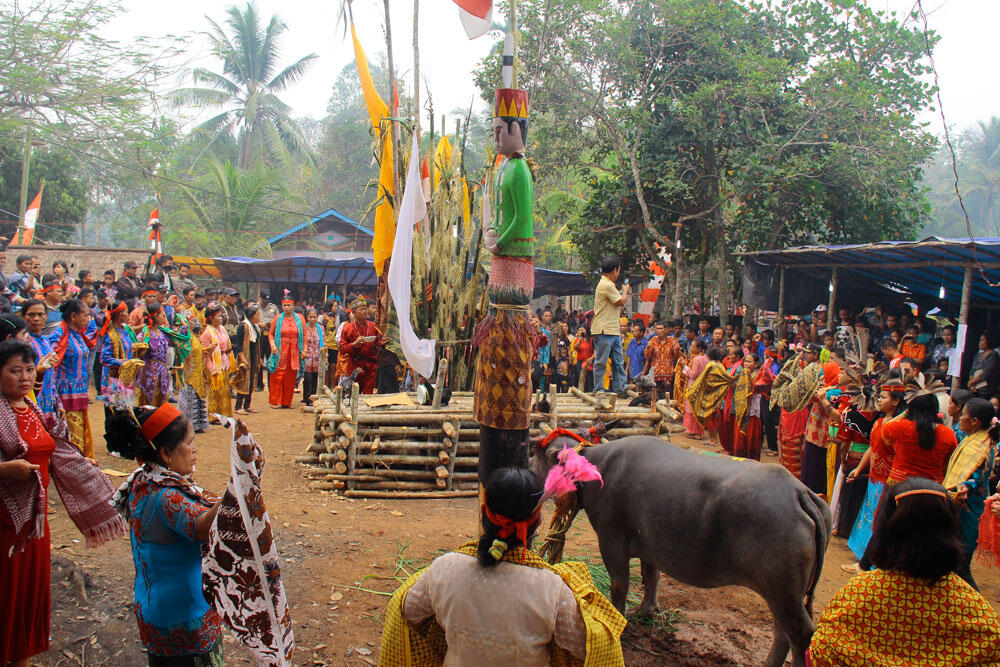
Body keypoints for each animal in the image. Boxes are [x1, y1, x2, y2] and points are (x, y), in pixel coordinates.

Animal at [532, 434, 828, 667]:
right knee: (782, 634)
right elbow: (651, 577)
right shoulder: (648, 546)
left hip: (783, 592)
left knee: (801, 635)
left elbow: (619, 586)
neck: (595, 469)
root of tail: (799, 493)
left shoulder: (611, 542)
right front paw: (646, 611)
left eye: (532, 455)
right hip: (783, 594)